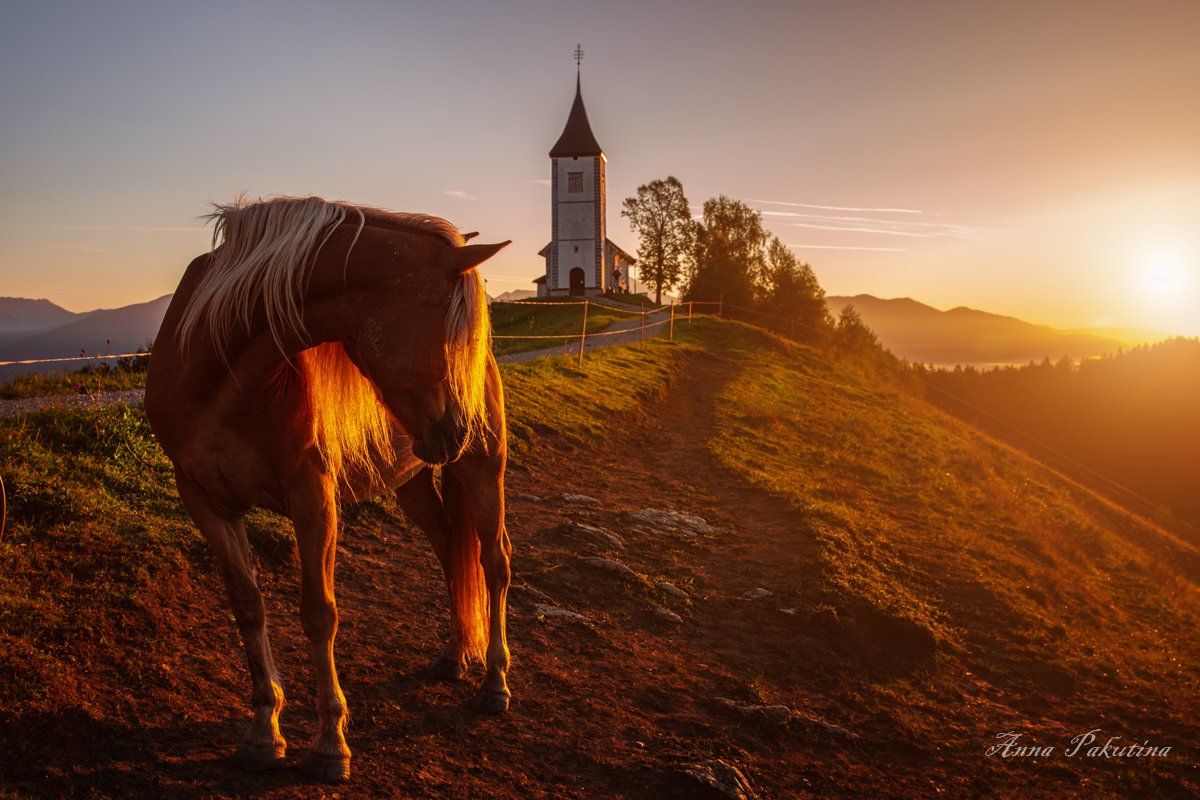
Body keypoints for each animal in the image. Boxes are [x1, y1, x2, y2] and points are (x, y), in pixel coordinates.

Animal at [145, 196, 511, 786]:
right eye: (448, 333)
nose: (457, 429)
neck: (221, 375)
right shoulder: (205, 503)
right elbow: (247, 607)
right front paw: (263, 733)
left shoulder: (313, 500)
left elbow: (319, 613)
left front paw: (329, 744)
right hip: (413, 483)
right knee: (451, 554)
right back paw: (455, 658)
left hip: (482, 470)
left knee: (493, 562)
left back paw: (495, 682)